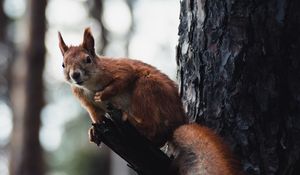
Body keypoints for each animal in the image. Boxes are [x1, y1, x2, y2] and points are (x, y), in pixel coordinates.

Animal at [58, 28, 241, 174]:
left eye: (88, 59)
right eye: (63, 64)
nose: (75, 75)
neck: (89, 85)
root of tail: (178, 122)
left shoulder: (118, 69)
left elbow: (124, 78)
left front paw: (103, 94)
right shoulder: (87, 103)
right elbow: (97, 117)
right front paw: (94, 131)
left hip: (146, 88)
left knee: (153, 129)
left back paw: (134, 122)